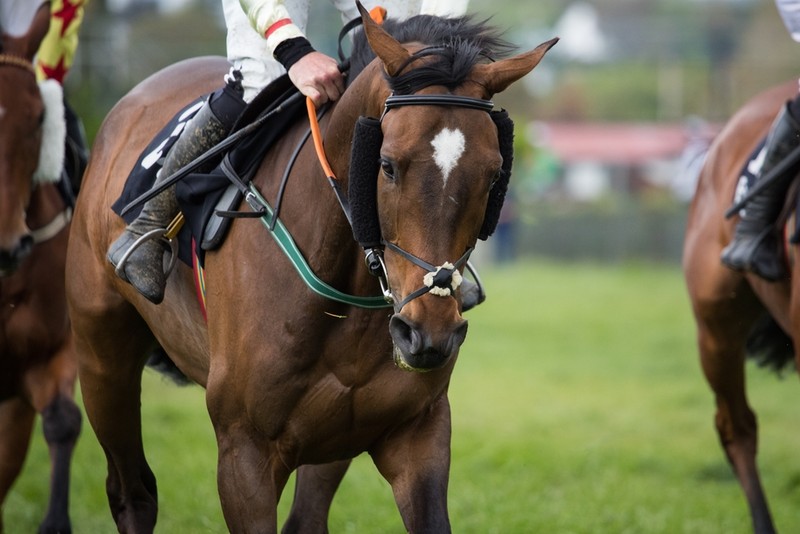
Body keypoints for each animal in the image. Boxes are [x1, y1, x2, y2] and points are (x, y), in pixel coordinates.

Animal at [65, 3, 557, 532]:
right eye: (387, 164)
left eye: (493, 173)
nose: (428, 334)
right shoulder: (244, 450)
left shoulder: (417, 433)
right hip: (101, 353)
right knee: (131, 491)